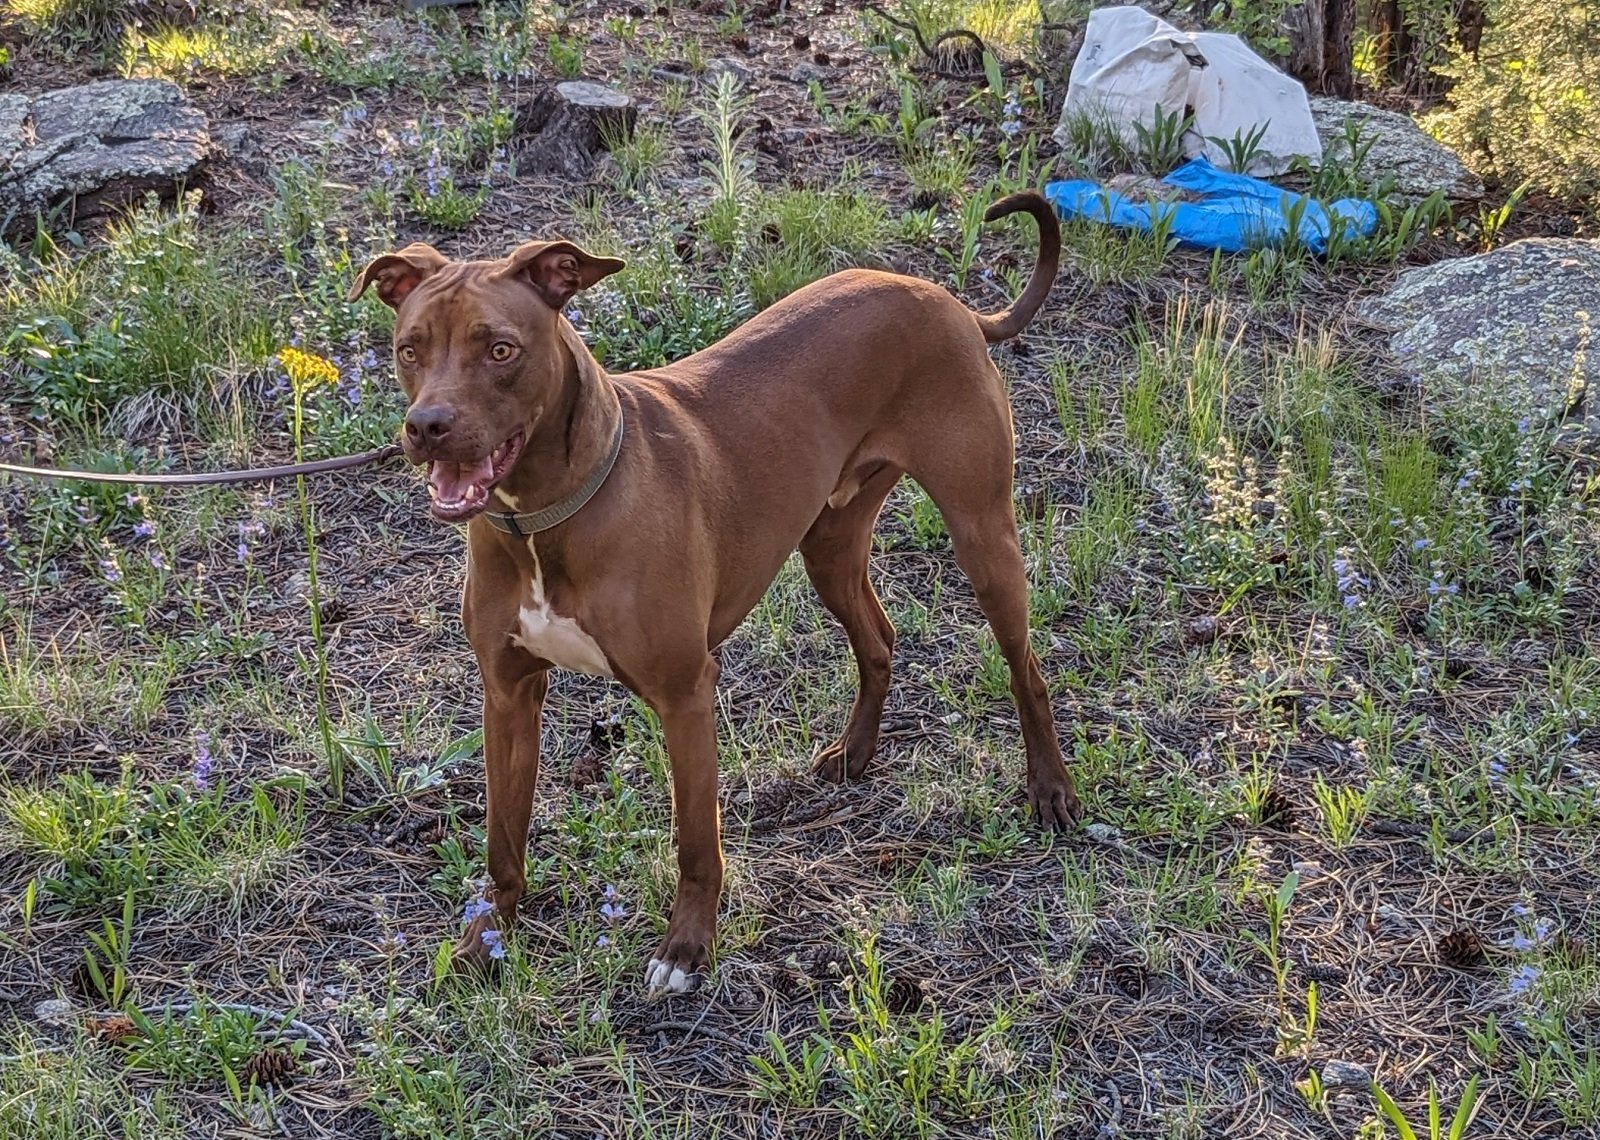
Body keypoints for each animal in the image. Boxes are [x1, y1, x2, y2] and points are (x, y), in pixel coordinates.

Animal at [348, 191, 1075, 992]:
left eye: (500, 349)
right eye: (409, 348)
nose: (426, 426)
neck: (546, 514)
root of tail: (947, 300)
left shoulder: (685, 693)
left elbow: (697, 840)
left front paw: (686, 948)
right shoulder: (507, 694)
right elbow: (502, 839)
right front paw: (488, 939)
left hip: (982, 534)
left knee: (1026, 669)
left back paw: (1050, 789)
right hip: (829, 546)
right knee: (879, 641)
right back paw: (855, 753)